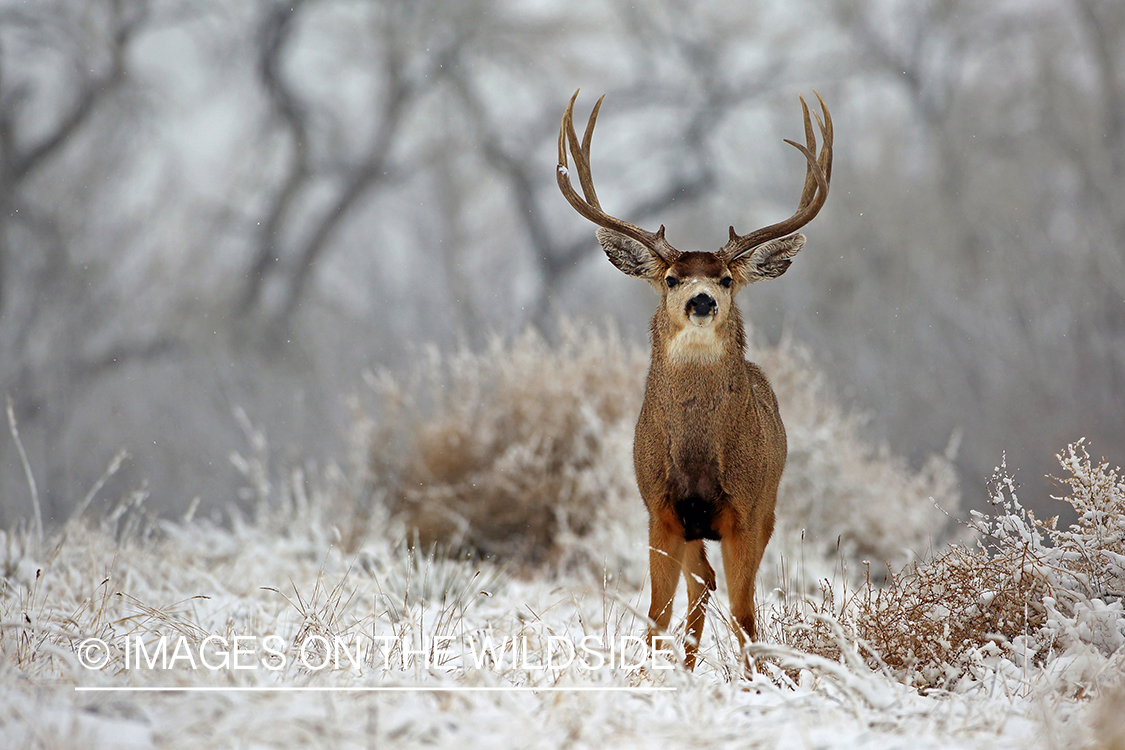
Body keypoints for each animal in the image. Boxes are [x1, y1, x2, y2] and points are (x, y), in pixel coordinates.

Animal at [558, 89, 832, 670]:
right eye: (671, 278)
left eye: (726, 278)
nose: (702, 300)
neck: (699, 459)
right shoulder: (659, 510)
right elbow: (657, 612)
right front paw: (650, 672)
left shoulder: (746, 510)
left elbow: (746, 611)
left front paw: (756, 677)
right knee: (700, 582)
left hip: (768, 507)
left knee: (720, 587)